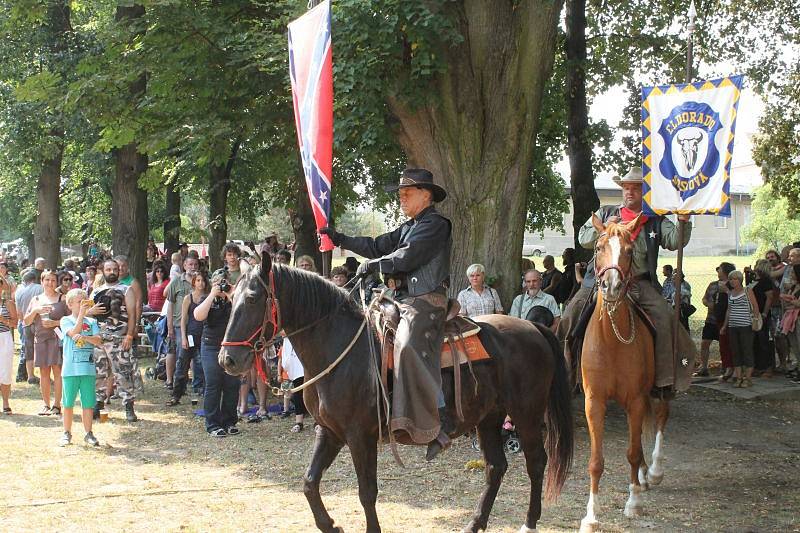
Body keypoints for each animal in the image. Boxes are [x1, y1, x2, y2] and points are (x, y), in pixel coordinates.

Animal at [217, 254, 576, 532]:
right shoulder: (330, 431)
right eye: (230, 298)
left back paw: (529, 522)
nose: (228, 359)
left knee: (536, 462)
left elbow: (366, 492)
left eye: (252, 298)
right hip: (489, 417)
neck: (342, 349)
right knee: (495, 467)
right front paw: (330, 525)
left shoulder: (359, 435)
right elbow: (309, 482)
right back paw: (474, 523)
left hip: (527, 413)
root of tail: (533, 328)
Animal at [580, 214, 672, 528]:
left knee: (660, 418)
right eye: (598, 248)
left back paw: (653, 471)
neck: (611, 340)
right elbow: (595, 462)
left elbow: (632, 453)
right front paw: (591, 515)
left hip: (658, 389)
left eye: (630, 251)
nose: (611, 286)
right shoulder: (594, 402)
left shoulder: (635, 399)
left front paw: (633, 503)